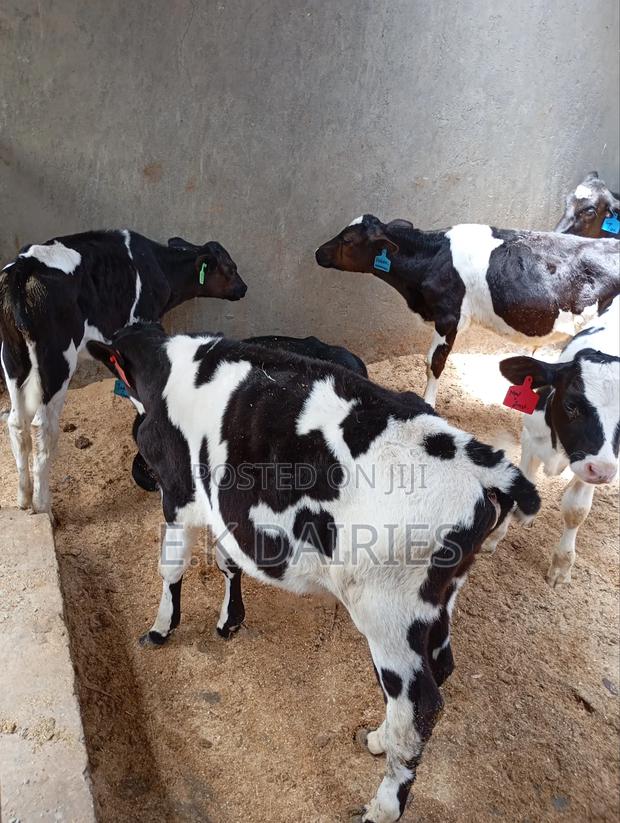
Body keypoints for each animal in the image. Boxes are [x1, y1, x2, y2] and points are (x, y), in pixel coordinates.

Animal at [0, 231, 247, 518]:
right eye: (231, 267)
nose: (244, 288)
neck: (158, 266)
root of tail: (22, 268)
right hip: (57, 360)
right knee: (42, 427)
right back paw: (43, 506)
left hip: (13, 356)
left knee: (16, 422)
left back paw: (24, 499)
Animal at [88, 322, 540, 823]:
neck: (167, 369)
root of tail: (478, 461)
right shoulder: (221, 507)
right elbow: (227, 560)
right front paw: (229, 619)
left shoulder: (178, 493)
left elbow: (170, 567)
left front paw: (161, 627)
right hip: (436, 603)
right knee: (439, 671)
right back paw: (379, 739)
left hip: (387, 613)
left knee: (420, 706)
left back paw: (383, 806)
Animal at [315, 214, 620, 407]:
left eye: (348, 240)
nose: (318, 252)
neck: (435, 257)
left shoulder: (448, 317)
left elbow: (433, 363)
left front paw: (428, 403)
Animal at [498, 297, 619, 587]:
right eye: (571, 405)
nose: (604, 472)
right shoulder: (530, 437)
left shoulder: (595, 463)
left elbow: (576, 510)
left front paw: (562, 566)